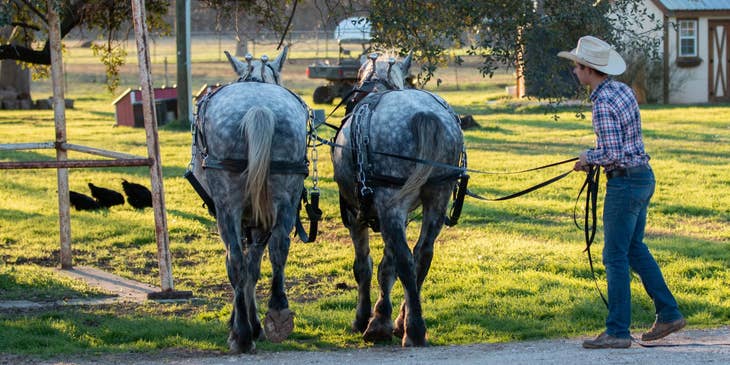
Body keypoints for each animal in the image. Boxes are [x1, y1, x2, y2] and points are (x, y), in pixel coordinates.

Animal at [186, 46, 308, 352]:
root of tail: (258, 109)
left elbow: (243, 267)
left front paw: (245, 324)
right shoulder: (261, 218)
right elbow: (255, 265)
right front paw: (256, 324)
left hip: (227, 207)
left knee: (235, 260)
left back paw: (241, 334)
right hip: (285, 196)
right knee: (278, 248)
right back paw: (278, 312)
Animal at [332, 52, 464, 346]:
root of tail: (425, 115)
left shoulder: (355, 216)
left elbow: (365, 267)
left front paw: (365, 319)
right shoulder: (397, 216)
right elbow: (387, 266)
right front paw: (385, 317)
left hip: (389, 203)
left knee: (405, 258)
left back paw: (410, 329)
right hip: (438, 195)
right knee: (421, 255)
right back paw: (406, 320)